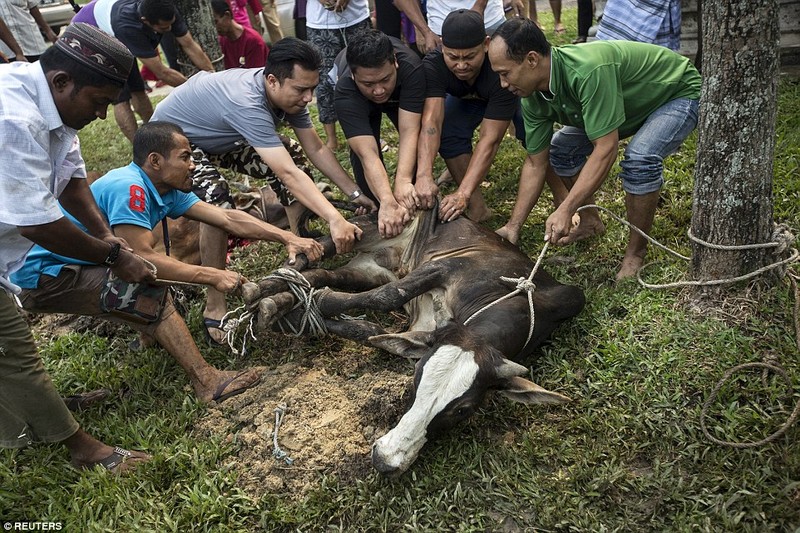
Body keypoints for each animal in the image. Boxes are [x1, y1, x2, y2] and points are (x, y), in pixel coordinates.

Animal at [242, 205, 580, 474]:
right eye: (417, 376)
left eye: (464, 409)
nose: (385, 461)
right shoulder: (441, 267)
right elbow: (386, 298)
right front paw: (294, 308)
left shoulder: (422, 326)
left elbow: (368, 328)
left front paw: (291, 315)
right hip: (364, 229)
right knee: (312, 253)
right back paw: (263, 287)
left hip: (367, 270)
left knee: (321, 275)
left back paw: (277, 297)